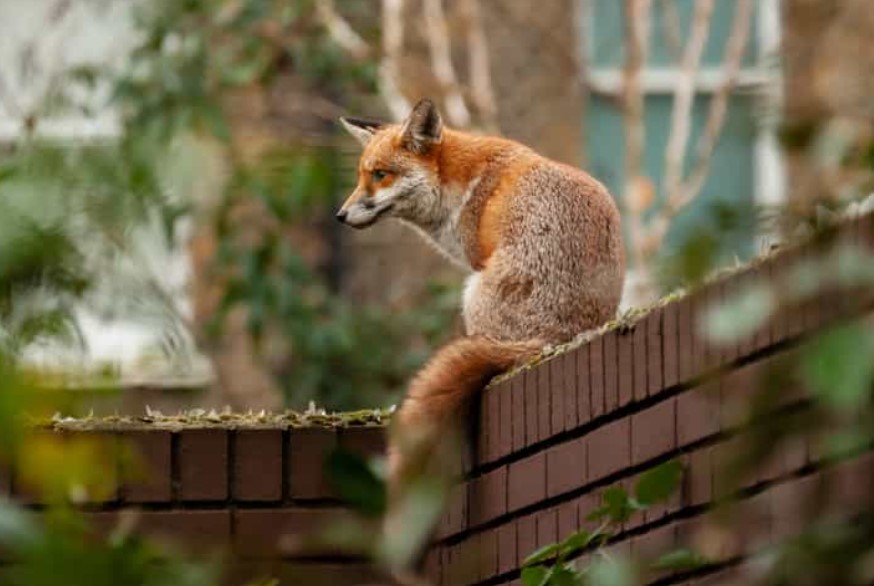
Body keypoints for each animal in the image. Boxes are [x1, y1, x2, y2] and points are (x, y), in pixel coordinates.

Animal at [338, 98, 624, 564]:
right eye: (361, 175)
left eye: (380, 175)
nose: (340, 215)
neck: (462, 186)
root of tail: (552, 339)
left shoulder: (474, 261)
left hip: (470, 293)